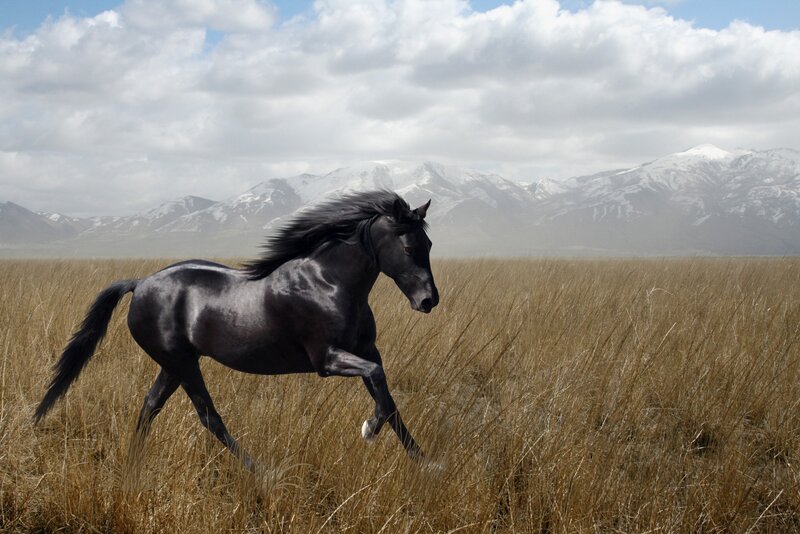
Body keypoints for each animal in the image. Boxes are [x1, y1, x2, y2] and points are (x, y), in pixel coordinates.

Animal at [34, 190, 439, 471]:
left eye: (430, 244)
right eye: (407, 246)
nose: (429, 301)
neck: (329, 282)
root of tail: (140, 283)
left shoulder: (366, 351)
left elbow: (389, 400)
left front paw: (428, 464)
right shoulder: (327, 359)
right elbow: (380, 387)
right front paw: (369, 429)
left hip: (174, 364)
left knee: (150, 406)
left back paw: (133, 466)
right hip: (182, 363)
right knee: (208, 417)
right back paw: (262, 471)